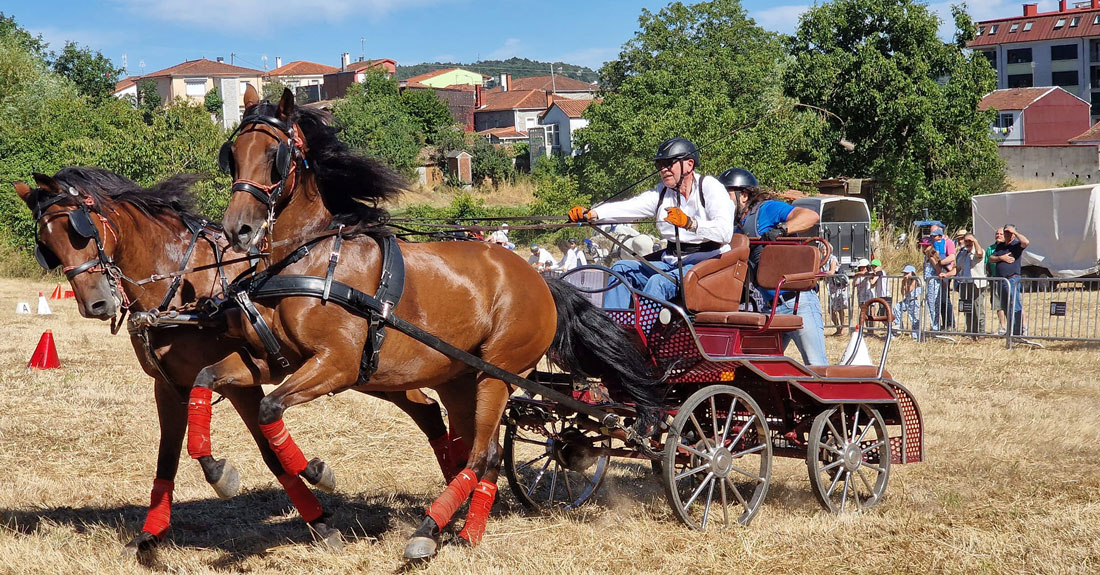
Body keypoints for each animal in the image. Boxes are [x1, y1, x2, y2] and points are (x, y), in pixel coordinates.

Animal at [13, 169, 451, 556]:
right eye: (47, 242)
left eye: (79, 231)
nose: (95, 304)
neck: (181, 281)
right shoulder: (169, 386)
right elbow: (167, 458)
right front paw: (149, 536)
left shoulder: (244, 382)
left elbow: (269, 453)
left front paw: (318, 519)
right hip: (374, 372)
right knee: (429, 412)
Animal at [202, 87, 655, 560]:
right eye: (233, 154)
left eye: (275, 153)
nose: (238, 229)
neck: (311, 258)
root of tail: (539, 279)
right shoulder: (275, 361)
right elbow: (208, 378)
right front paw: (217, 470)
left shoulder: (335, 365)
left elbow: (270, 408)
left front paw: (317, 471)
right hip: (461, 379)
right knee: (483, 452)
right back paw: (466, 529)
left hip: (498, 375)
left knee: (481, 455)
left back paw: (429, 528)